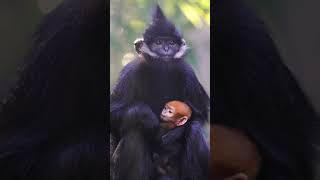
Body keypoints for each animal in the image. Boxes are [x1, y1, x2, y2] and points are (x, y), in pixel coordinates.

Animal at [110, 4, 210, 180]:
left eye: (170, 42)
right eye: (158, 42)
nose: (166, 48)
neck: (161, 69)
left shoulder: (187, 72)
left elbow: (201, 113)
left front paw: (176, 133)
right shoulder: (130, 72)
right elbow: (113, 112)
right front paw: (144, 114)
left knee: (195, 130)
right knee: (134, 129)